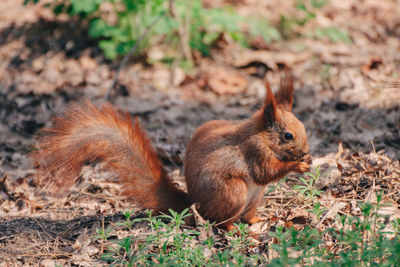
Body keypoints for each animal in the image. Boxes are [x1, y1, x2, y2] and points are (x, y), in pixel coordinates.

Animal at [31, 72, 312, 231]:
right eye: (288, 136)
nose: (306, 152)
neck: (260, 134)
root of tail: (192, 204)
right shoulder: (253, 150)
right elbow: (265, 172)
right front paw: (297, 165)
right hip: (233, 192)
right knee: (218, 221)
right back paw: (231, 229)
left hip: (255, 196)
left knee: (246, 215)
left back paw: (260, 221)